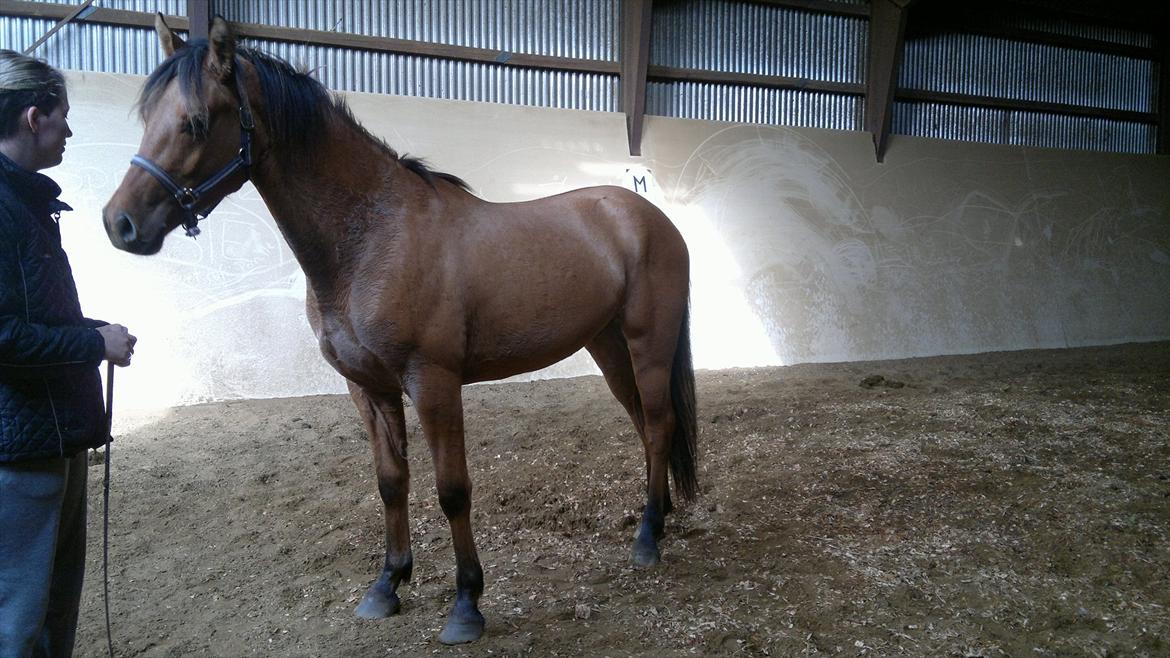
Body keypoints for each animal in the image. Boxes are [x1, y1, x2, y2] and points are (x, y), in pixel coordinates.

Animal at [102, 16, 697, 645]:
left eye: (195, 121)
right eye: (148, 117)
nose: (120, 223)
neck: (373, 238)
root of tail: (650, 217)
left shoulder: (432, 382)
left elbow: (453, 490)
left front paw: (466, 604)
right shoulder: (369, 387)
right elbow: (392, 482)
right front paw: (387, 585)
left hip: (648, 345)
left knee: (659, 424)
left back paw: (648, 539)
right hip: (608, 347)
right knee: (645, 426)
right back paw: (658, 518)